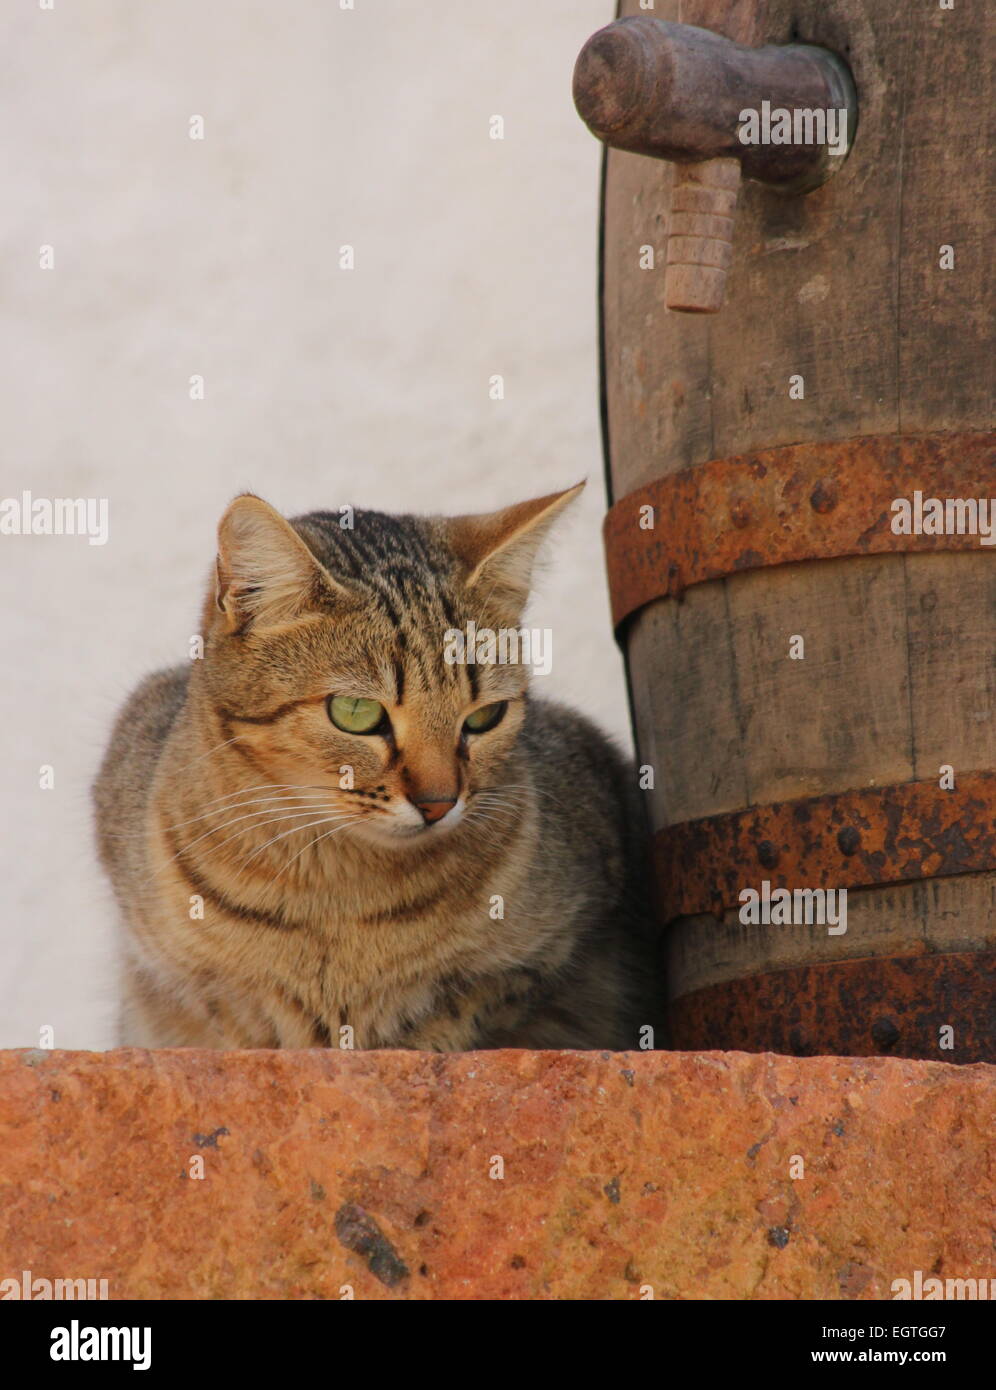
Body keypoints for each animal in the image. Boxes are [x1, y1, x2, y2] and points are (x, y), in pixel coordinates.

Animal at [90, 483, 652, 1045]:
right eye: (356, 713)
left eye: (484, 717)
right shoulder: (197, 992)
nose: (439, 803)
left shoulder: (534, 966)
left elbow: (448, 1020)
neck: (337, 893)